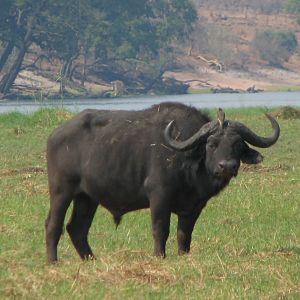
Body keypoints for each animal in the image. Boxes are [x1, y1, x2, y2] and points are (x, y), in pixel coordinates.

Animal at [45, 103, 280, 262]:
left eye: (238, 144)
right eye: (211, 144)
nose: (227, 166)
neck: (189, 163)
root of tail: (55, 135)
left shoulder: (194, 206)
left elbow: (184, 233)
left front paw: (183, 255)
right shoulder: (159, 197)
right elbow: (160, 229)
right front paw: (160, 256)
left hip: (87, 198)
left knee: (77, 228)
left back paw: (91, 260)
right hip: (61, 191)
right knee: (54, 224)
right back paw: (53, 261)